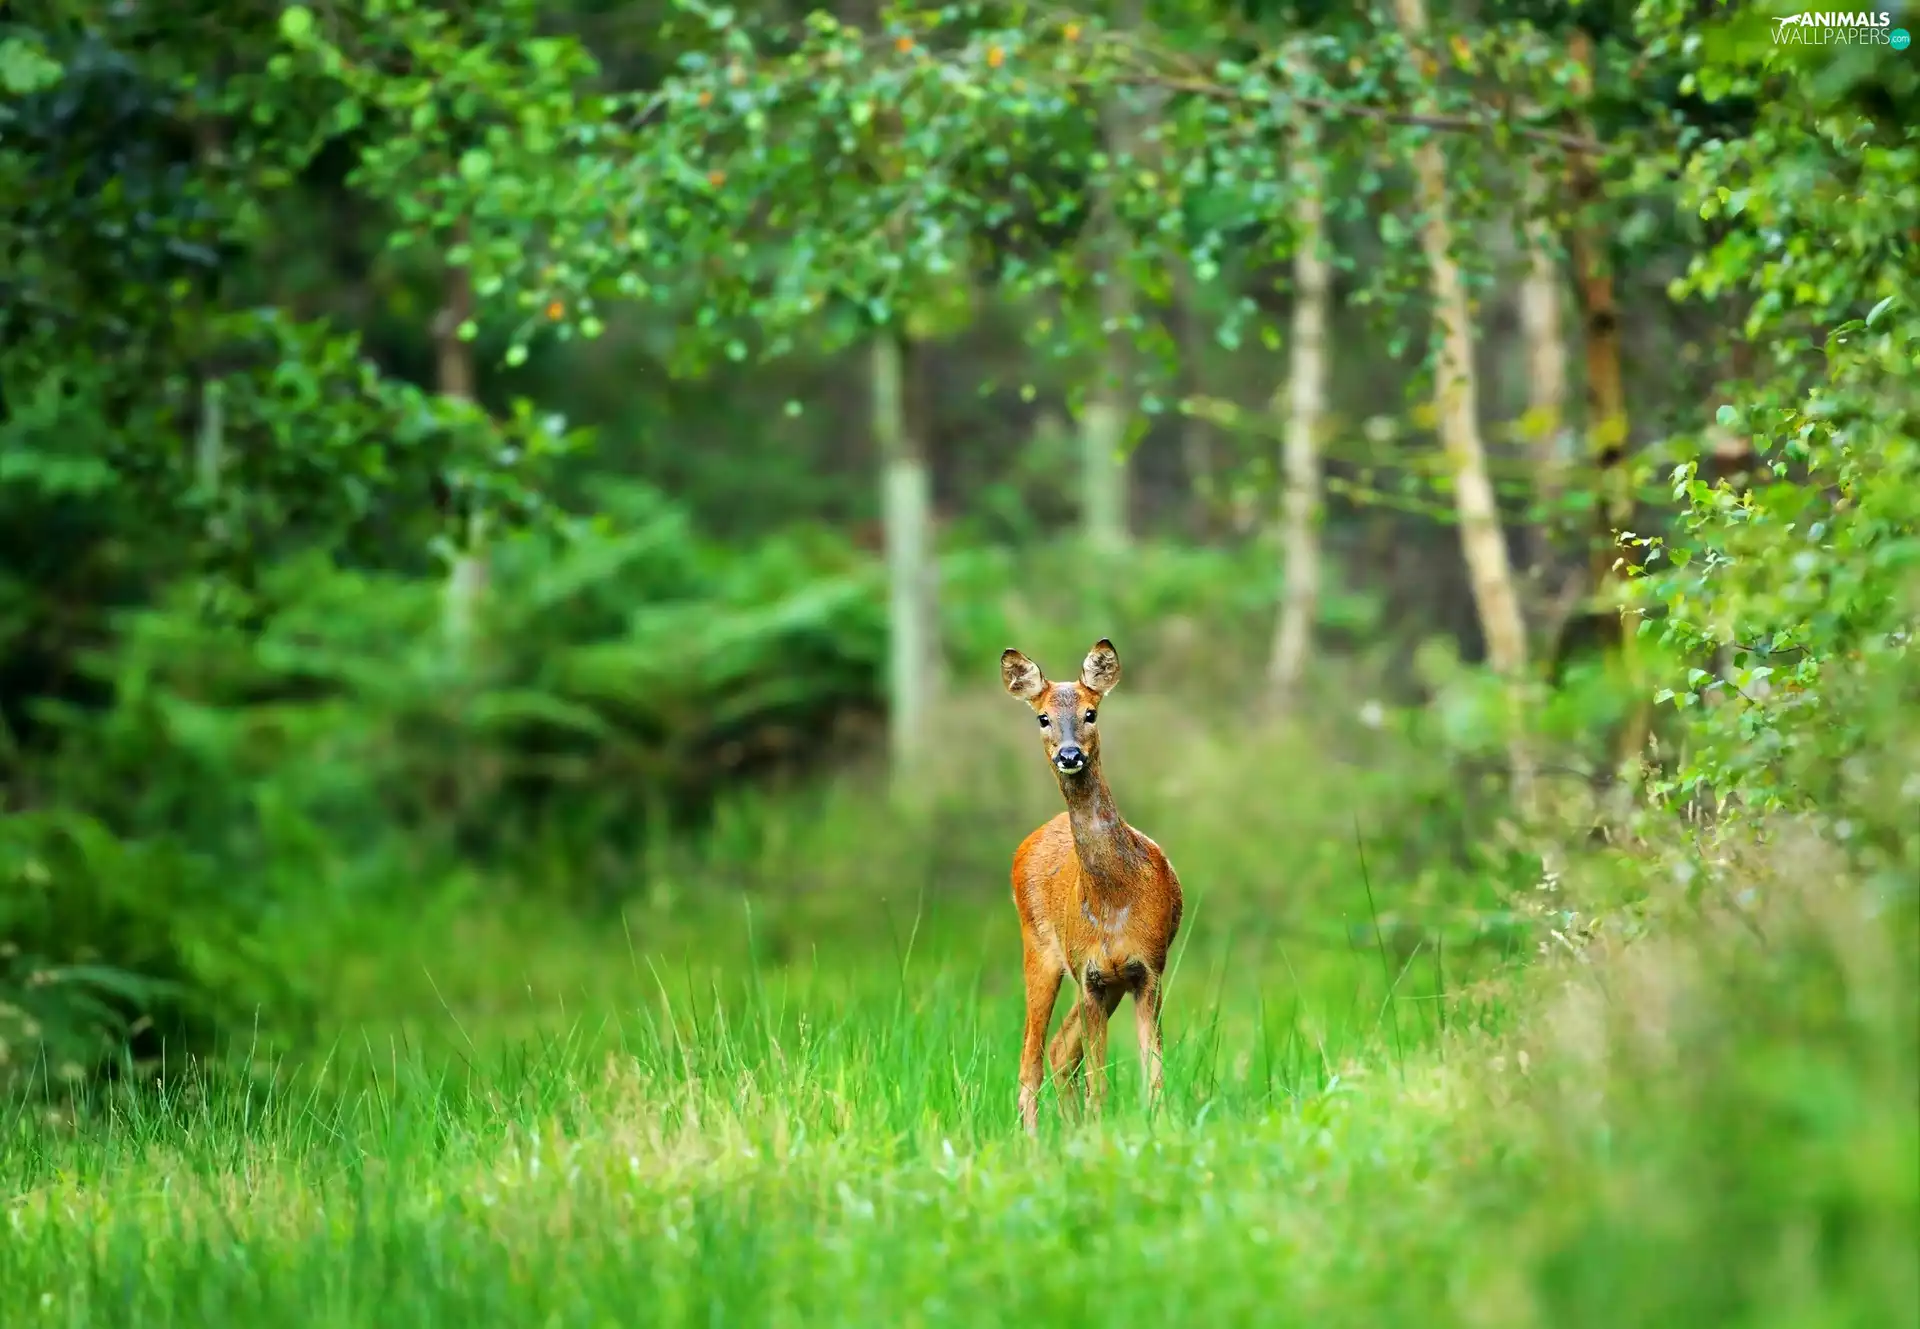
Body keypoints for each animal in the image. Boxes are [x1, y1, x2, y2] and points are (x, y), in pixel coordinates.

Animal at [1000, 638, 1183, 1134]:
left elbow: (1154, 1071)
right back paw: (1035, 1141)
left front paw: (1156, 1128)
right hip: (1039, 949)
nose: (1069, 755)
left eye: (1091, 712)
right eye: (1043, 717)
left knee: (1060, 1050)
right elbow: (1099, 1081)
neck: (1114, 900)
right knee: (1031, 1058)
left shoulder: (1147, 969)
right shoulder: (1090, 975)